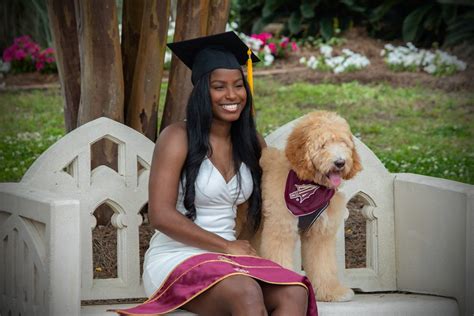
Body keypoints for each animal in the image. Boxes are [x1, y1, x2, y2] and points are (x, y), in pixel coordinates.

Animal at [243, 110, 362, 302]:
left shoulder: (320, 234)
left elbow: (323, 264)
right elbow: (279, 257)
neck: (310, 185)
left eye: (343, 143)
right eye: (323, 145)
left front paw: (331, 291)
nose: (340, 162)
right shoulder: (280, 229)